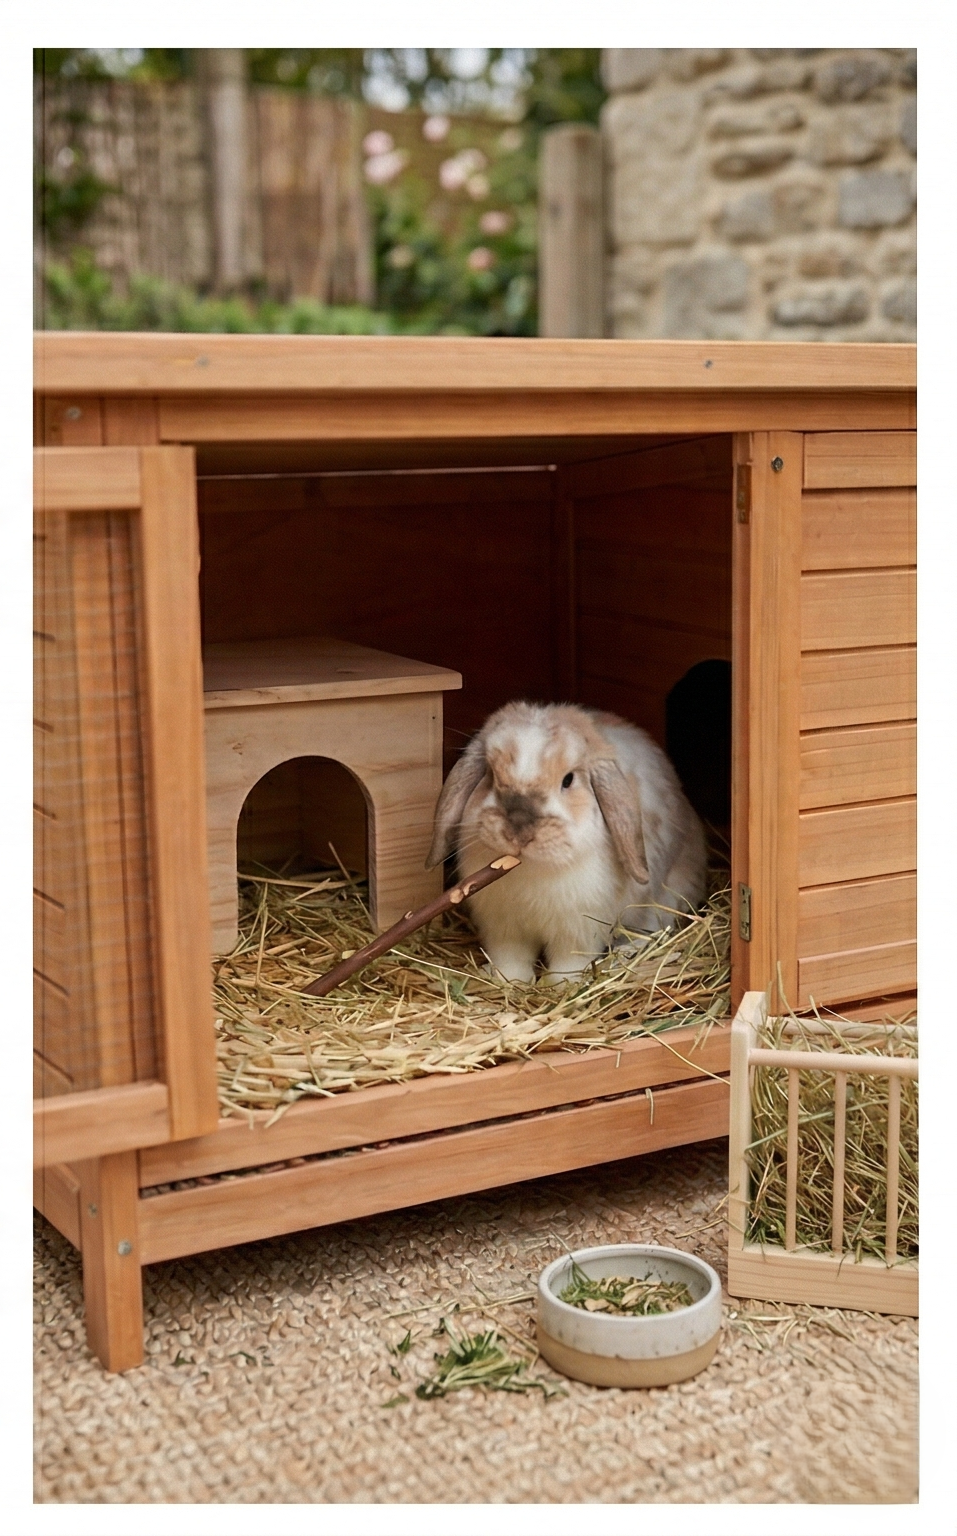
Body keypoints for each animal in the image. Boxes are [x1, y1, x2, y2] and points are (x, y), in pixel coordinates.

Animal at [426, 701, 707, 985]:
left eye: (568, 780)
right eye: (490, 775)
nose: (518, 831)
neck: (531, 870)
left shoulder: (579, 930)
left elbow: (568, 962)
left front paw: (560, 985)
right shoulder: (504, 929)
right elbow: (511, 958)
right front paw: (509, 981)